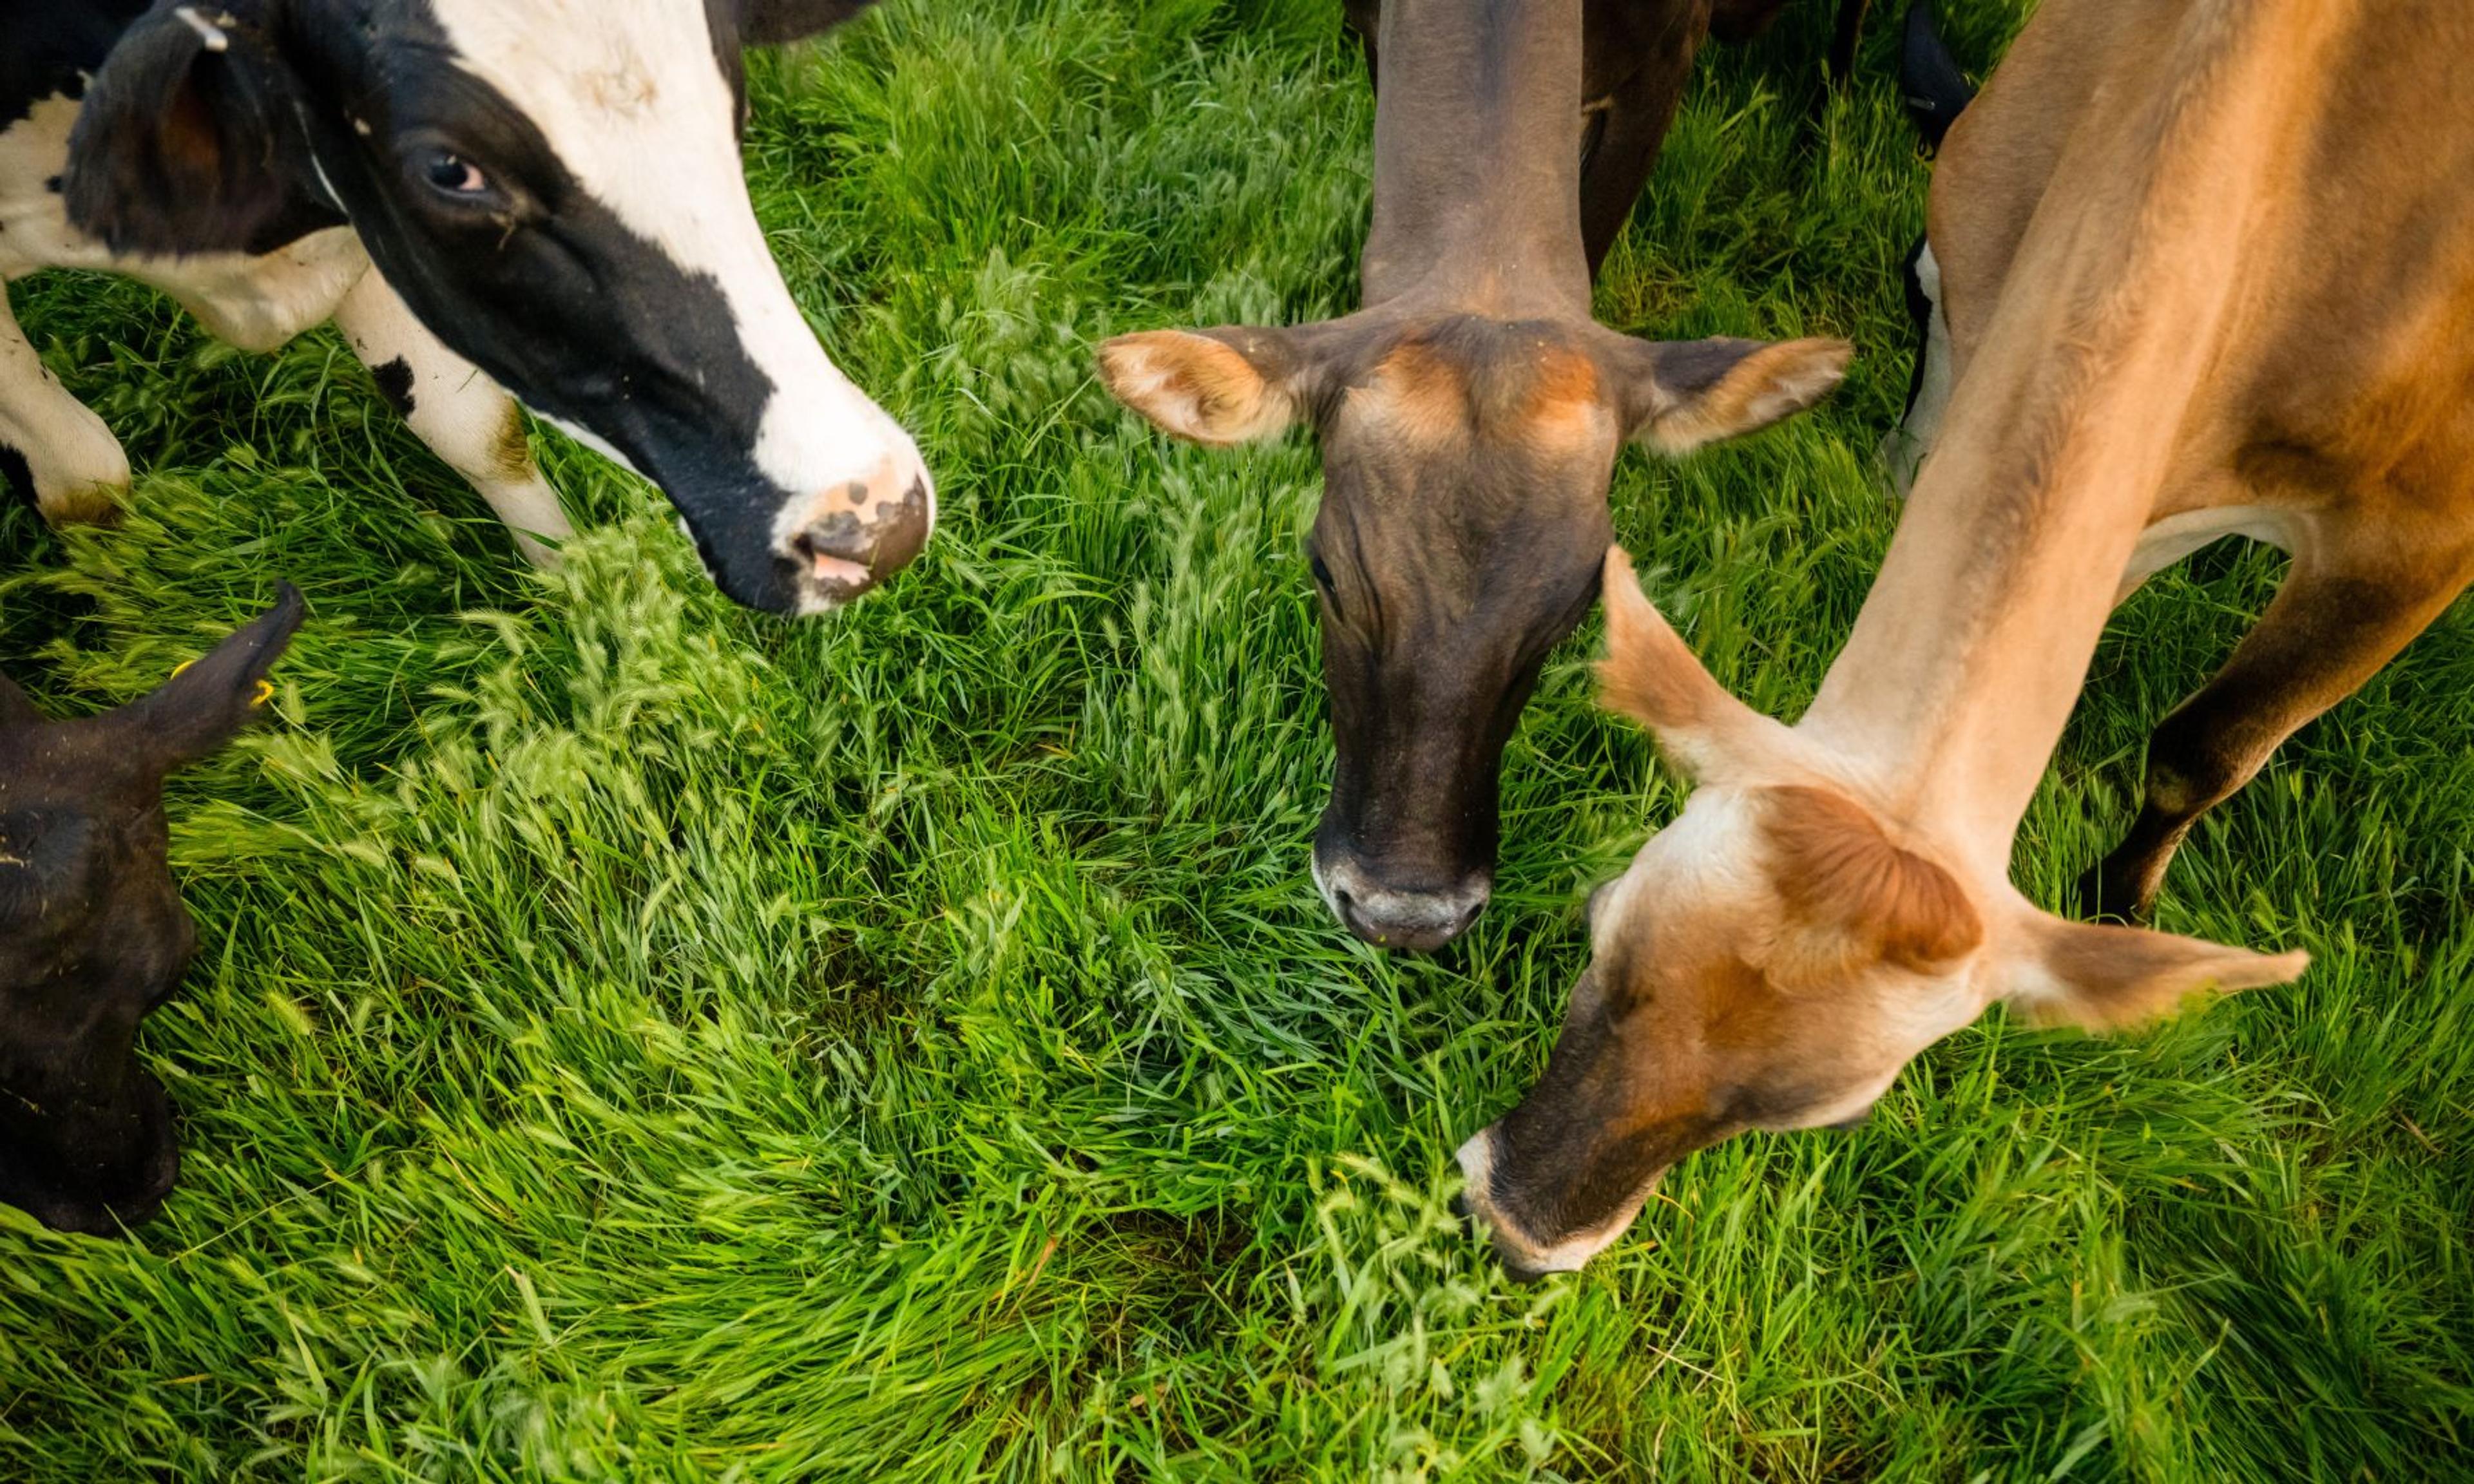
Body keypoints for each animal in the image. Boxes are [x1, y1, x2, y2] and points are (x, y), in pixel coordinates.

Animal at [1, 0, 930, 613]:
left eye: (729, 87)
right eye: (450, 170)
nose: (878, 521)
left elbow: (474, 430)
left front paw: (572, 590)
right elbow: (85, 479)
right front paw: (121, 626)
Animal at [1454, 0, 2465, 1278]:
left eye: (1827, 1115)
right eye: (1599, 924)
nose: (1516, 1225)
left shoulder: (2418, 539)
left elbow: (2208, 746)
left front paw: (2120, 898)